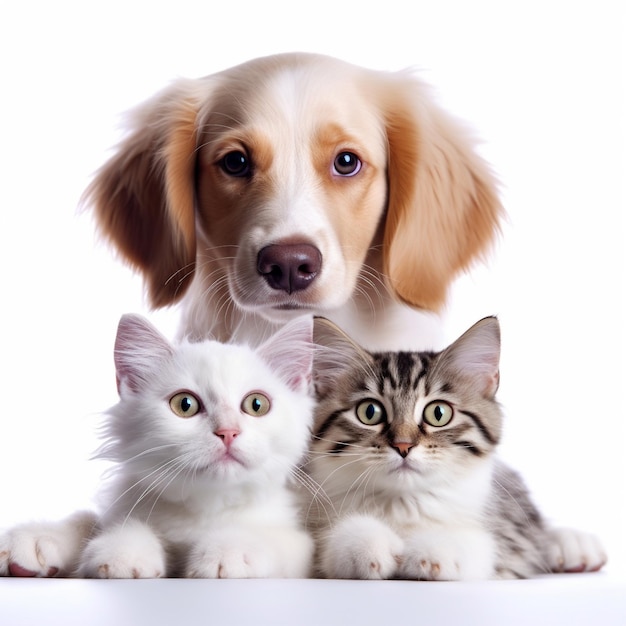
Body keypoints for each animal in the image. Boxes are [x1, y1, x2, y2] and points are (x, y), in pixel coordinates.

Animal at [0, 314, 312, 576]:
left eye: (257, 404)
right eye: (185, 404)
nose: (228, 432)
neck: (205, 507)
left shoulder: (300, 545)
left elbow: (270, 535)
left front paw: (229, 551)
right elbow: (88, 519)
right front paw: (117, 550)